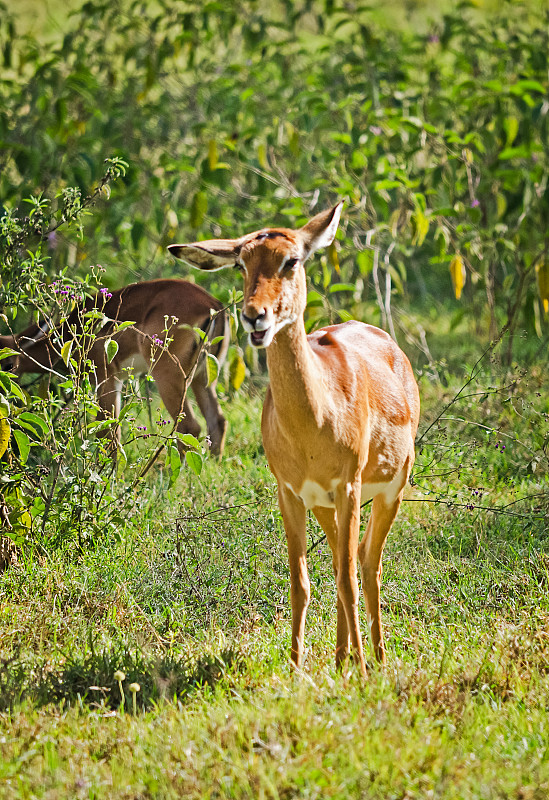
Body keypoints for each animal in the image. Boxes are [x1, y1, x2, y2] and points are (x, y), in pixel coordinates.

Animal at [0, 280, 227, 456]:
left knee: (190, 427)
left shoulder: (106, 377)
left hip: (168, 376)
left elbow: (108, 432)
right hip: (203, 378)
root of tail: (213, 305)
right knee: (218, 421)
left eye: (9, 364)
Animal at [169, 205, 422, 676]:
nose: (255, 315)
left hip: (389, 491)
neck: (314, 422)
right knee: (348, 559)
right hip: (325, 505)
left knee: (367, 565)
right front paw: (297, 665)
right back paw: (341, 658)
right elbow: (300, 582)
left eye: (291, 260)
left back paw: (375, 659)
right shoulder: (290, 493)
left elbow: (347, 580)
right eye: (241, 263)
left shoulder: (348, 486)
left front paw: (362, 671)